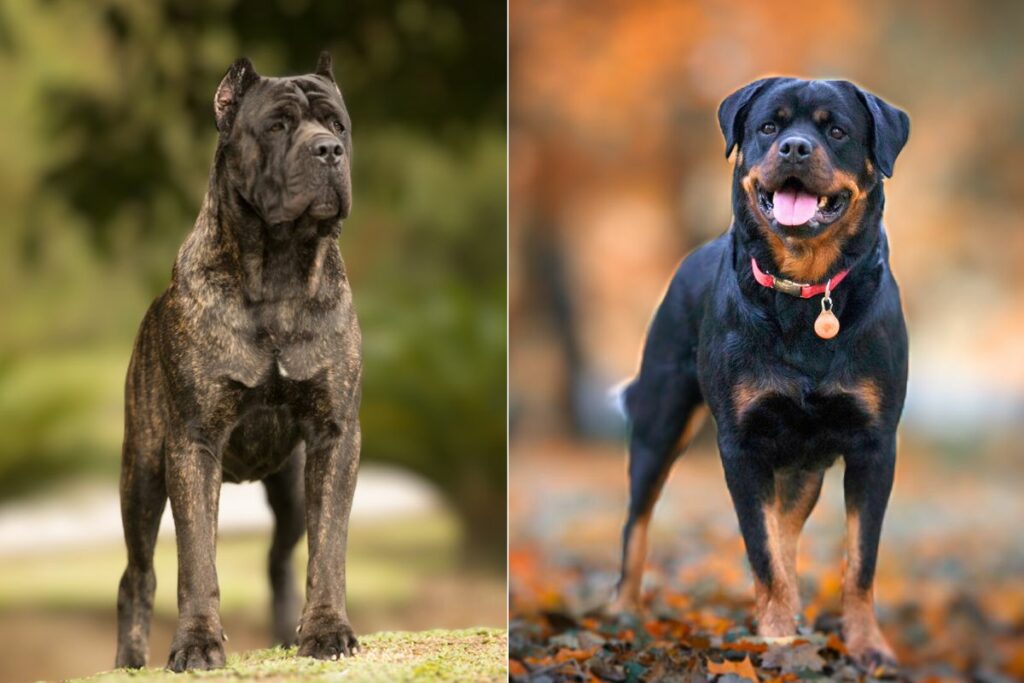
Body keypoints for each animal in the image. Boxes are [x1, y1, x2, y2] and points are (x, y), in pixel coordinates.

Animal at [111, 54, 358, 671]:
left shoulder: (334, 436)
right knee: (137, 575)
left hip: (291, 487)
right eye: (277, 126)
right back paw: (128, 660)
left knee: (281, 557)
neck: (280, 270)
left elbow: (330, 548)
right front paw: (197, 643)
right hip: (142, 477)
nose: (328, 151)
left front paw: (327, 631)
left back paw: (287, 631)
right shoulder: (193, 443)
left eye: (337, 125)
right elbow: (196, 559)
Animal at [606, 78, 913, 667]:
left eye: (837, 130)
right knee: (638, 520)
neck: (807, 291)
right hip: (660, 424)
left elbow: (859, 560)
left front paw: (866, 645)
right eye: (769, 126)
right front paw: (775, 640)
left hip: (804, 463)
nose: (794, 147)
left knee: (787, 528)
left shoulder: (875, 444)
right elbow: (761, 551)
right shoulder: (741, 445)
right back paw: (623, 611)